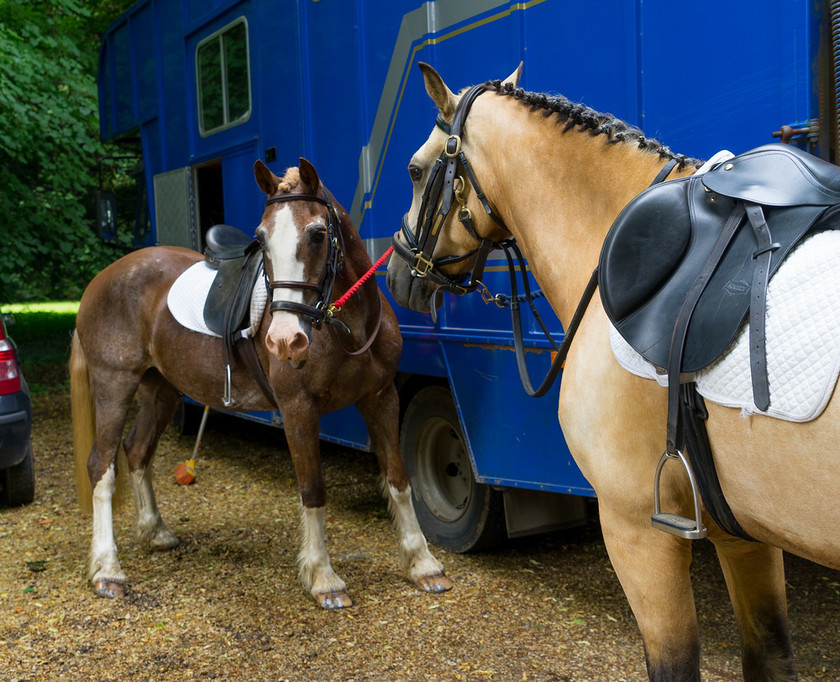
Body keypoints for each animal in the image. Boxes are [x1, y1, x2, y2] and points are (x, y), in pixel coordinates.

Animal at [70, 158, 452, 604]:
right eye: (262, 240)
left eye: (318, 234)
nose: (285, 340)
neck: (344, 327)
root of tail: (101, 280)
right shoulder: (298, 409)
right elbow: (313, 489)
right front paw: (323, 578)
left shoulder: (382, 397)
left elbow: (399, 478)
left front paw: (423, 564)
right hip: (114, 385)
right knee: (102, 465)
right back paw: (107, 570)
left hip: (161, 389)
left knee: (137, 449)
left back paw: (155, 532)